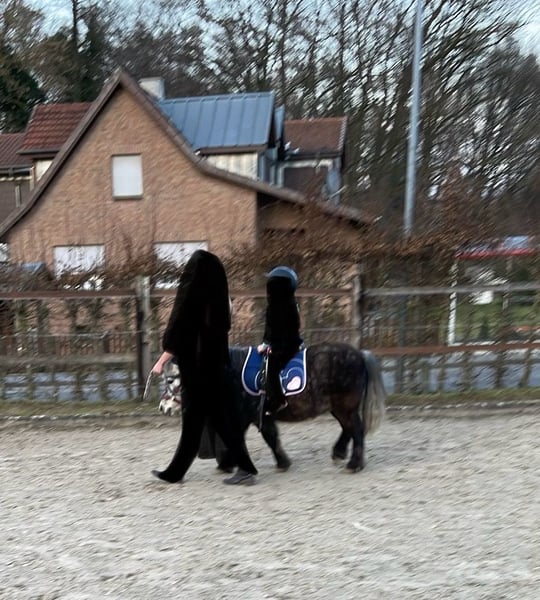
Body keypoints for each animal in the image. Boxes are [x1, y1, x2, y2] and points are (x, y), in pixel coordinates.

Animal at [158, 342, 386, 472]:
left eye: (170, 379)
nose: (162, 407)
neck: (232, 374)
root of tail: (359, 354)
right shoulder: (258, 416)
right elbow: (269, 437)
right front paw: (281, 462)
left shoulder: (247, 416)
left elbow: (254, 438)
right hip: (337, 407)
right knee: (349, 429)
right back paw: (339, 453)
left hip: (344, 406)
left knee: (356, 429)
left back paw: (354, 464)